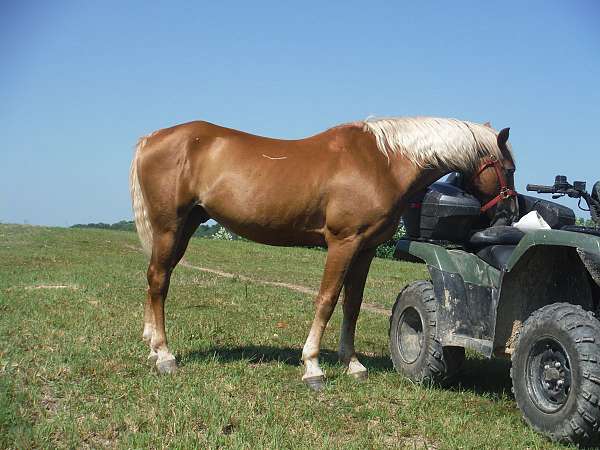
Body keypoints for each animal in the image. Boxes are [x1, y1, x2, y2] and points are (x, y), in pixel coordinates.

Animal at [129, 116, 516, 390]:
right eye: (509, 168)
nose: (510, 212)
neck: (383, 161)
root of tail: (152, 137)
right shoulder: (342, 243)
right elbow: (327, 300)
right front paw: (312, 366)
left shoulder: (365, 249)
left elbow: (352, 305)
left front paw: (353, 364)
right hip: (169, 227)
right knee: (159, 281)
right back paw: (164, 355)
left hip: (184, 227)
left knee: (155, 278)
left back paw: (151, 346)